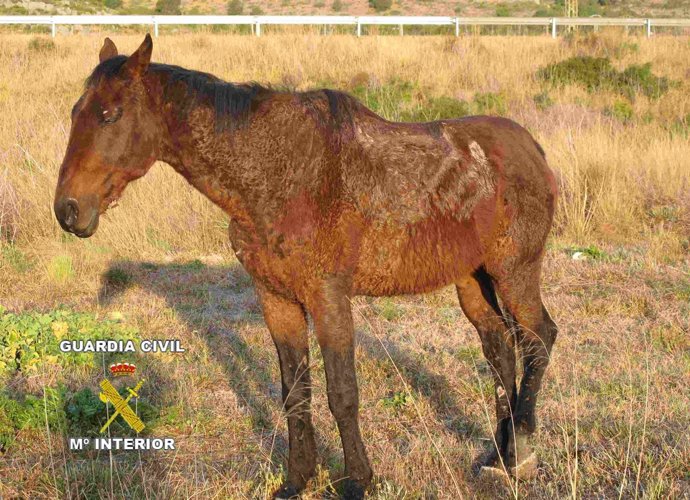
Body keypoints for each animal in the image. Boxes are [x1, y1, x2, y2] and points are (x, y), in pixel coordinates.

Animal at [54, 35, 558, 498]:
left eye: (110, 114)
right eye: (77, 111)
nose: (68, 210)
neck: (277, 172)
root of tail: (533, 147)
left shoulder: (329, 298)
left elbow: (342, 394)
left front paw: (356, 481)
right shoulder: (277, 301)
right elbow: (295, 393)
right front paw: (298, 479)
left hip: (514, 273)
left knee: (538, 339)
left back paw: (521, 452)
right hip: (473, 281)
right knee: (499, 349)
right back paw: (496, 455)